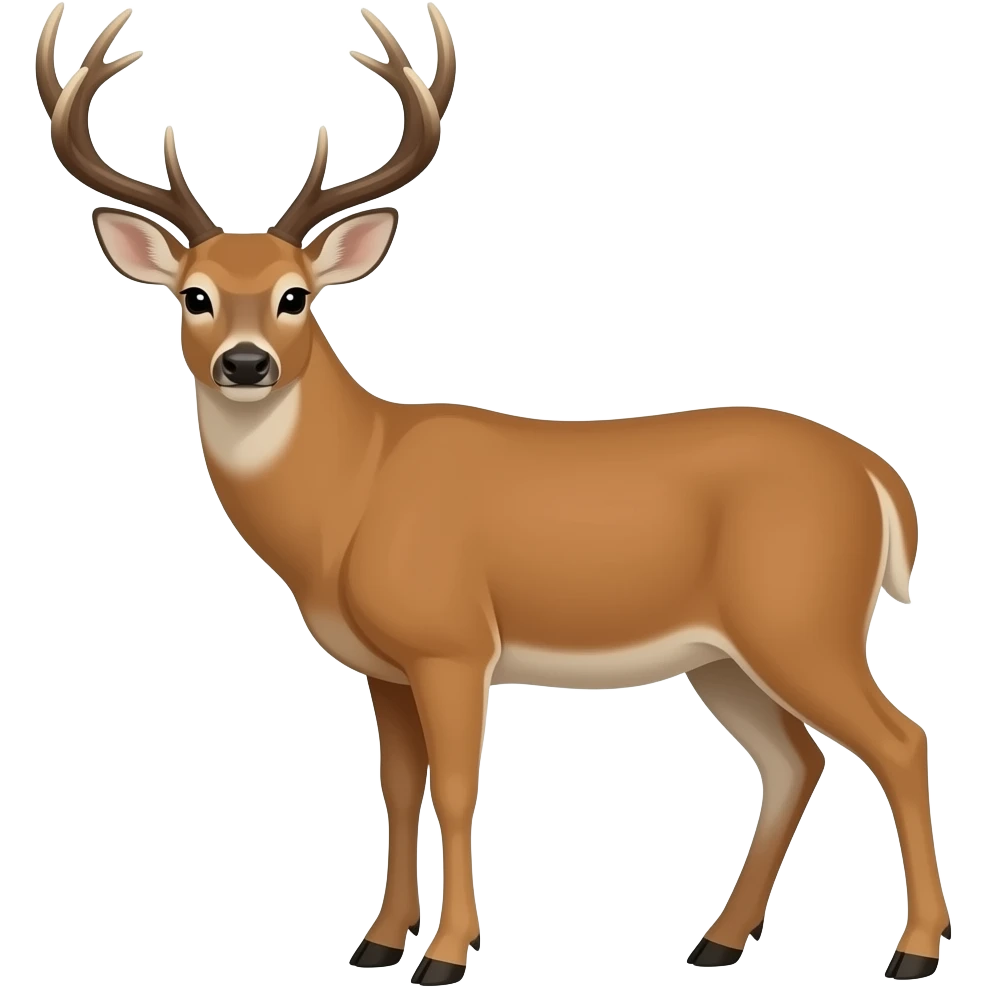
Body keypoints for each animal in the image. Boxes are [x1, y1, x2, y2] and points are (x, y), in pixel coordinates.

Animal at [36, 3, 947, 983]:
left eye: (295, 297)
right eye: (195, 296)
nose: (247, 364)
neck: (353, 492)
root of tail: (877, 475)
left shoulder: (453, 641)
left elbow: (454, 786)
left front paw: (445, 952)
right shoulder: (384, 666)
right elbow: (398, 788)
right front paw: (377, 939)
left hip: (801, 617)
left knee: (899, 739)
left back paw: (912, 950)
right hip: (723, 654)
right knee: (794, 761)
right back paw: (716, 940)